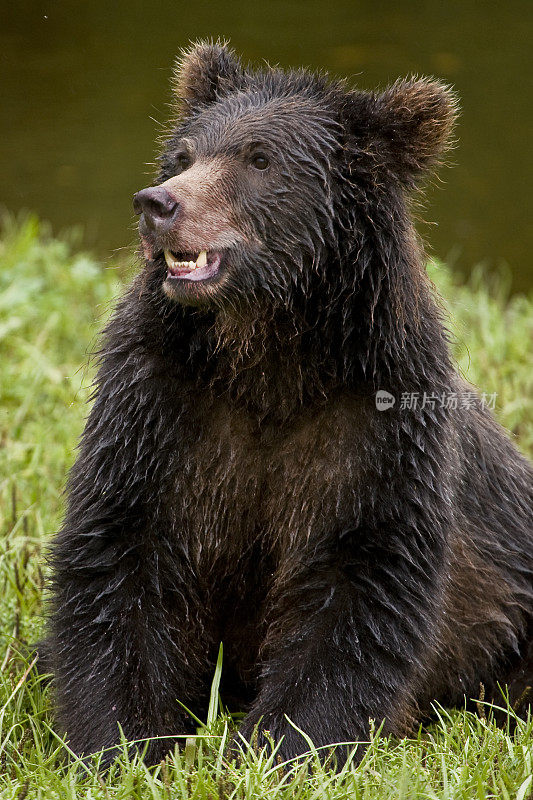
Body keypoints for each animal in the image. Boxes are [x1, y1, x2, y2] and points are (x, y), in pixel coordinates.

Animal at [42, 40, 532, 764]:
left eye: (259, 159)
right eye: (183, 154)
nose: (158, 204)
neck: (268, 355)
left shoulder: (371, 424)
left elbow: (359, 585)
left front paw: (278, 746)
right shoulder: (163, 406)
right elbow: (124, 551)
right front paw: (123, 742)